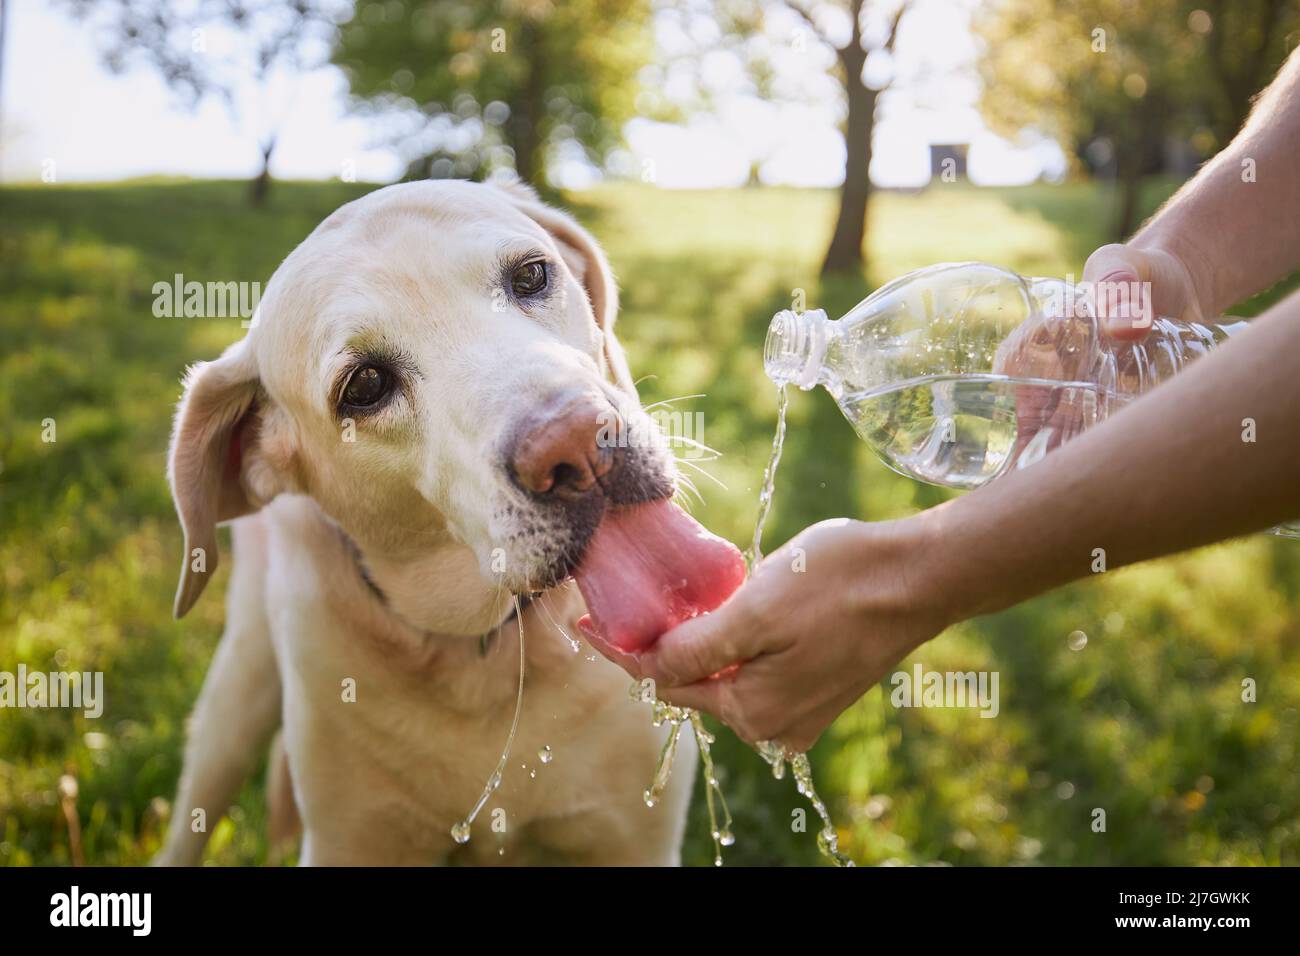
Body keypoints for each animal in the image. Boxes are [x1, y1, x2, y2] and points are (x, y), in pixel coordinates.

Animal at [156, 179, 696, 868]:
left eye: (531, 275)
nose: (576, 444)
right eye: (365, 385)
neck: (484, 653)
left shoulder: (635, 840)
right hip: (237, 692)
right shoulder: (346, 844)